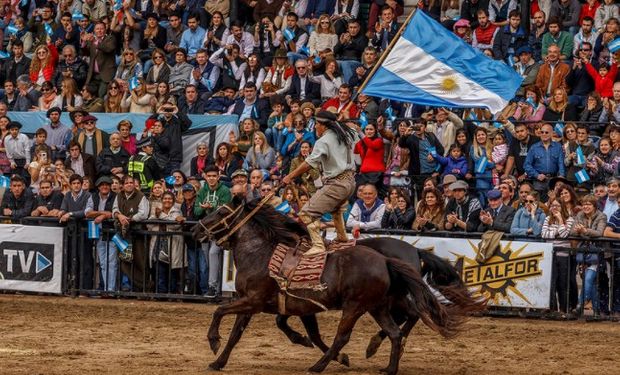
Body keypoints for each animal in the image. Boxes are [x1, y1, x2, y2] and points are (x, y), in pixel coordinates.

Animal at [274, 238, 484, 362]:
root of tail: (415, 250)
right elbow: (282, 319)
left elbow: (304, 329)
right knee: (410, 316)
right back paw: (383, 345)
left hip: (391, 297)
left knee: (408, 316)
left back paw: (378, 345)